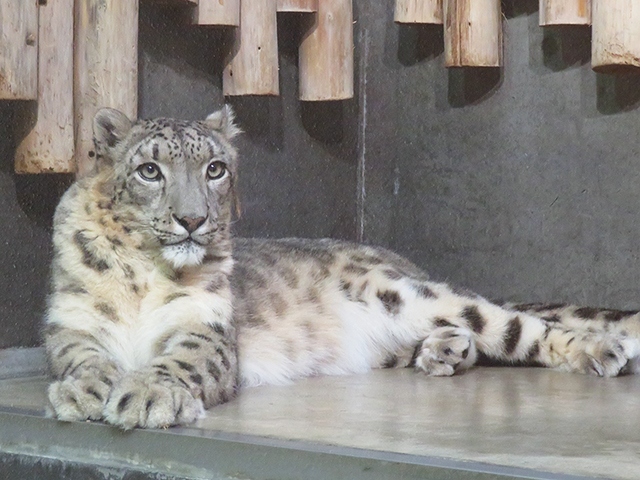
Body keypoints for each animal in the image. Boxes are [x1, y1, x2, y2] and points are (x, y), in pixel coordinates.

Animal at [43, 107, 640, 430]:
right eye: (149, 170)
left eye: (215, 169)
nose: (192, 219)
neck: (144, 275)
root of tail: (396, 259)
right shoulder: (71, 326)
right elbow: (82, 358)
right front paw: (82, 390)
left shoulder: (205, 330)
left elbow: (181, 359)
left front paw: (147, 394)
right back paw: (443, 352)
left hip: (410, 294)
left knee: (520, 324)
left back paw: (600, 350)